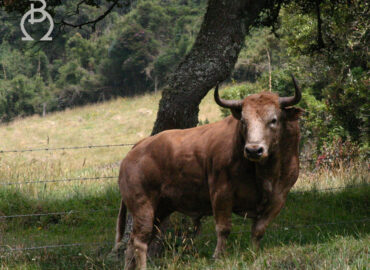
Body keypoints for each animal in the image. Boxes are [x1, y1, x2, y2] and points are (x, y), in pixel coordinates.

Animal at [113, 75, 304, 268]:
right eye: (244, 121)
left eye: (273, 120)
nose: (253, 150)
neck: (265, 172)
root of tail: (137, 148)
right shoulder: (221, 193)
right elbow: (224, 228)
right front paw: (218, 257)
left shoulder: (278, 198)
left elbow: (258, 230)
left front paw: (253, 254)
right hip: (143, 206)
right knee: (140, 241)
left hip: (161, 208)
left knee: (133, 244)